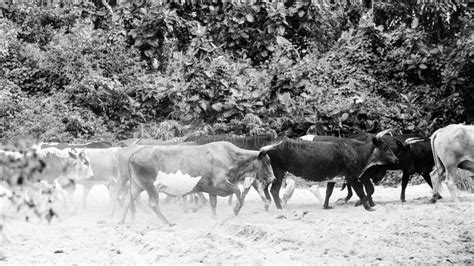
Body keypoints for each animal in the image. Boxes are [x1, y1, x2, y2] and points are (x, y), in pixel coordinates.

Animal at [118, 140, 276, 225]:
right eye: (267, 161)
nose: (273, 178)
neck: (231, 157)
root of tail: (133, 154)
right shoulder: (221, 183)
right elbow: (238, 192)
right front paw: (236, 209)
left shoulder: (212, 189)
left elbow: (213, 203)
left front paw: (214, 217)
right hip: (150, 186)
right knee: (152, 204)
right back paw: (167, 222)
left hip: (136, 186)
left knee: (127, 200)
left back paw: (121, 221)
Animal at [258, 129, 398, 212]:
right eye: (385, 147)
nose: (396, 159)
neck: (356, 151)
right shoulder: (352, 177)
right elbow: (361, 192)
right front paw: (368, 207)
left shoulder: (333, 178)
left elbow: (328, 192)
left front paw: (326, 206)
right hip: (279, 173)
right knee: (274, 190)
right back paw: (280, 208)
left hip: (272, 175)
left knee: (265, 188)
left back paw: (268, 205)